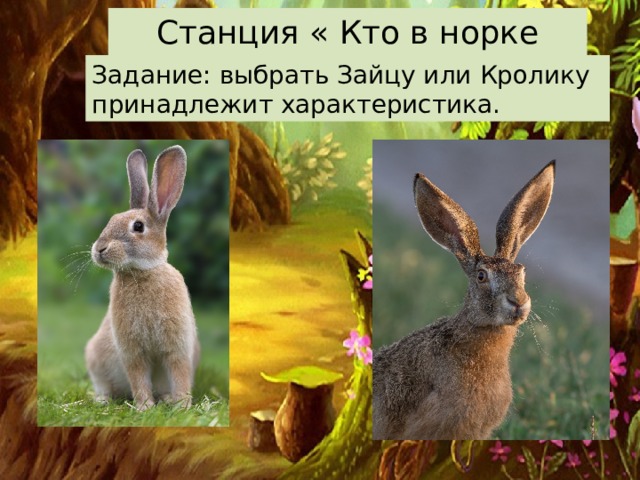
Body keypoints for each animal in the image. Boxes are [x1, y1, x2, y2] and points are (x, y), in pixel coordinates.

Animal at [85, 145, 200, 411]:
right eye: (111, 220)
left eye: (138, 227)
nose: (99, 249)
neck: (142, 272)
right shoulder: (132, 350)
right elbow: (138, 377)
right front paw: (145, 407)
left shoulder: (178, 346)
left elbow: (179, 373)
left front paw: (182, 405)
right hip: (95, 358)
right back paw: (102, 400)